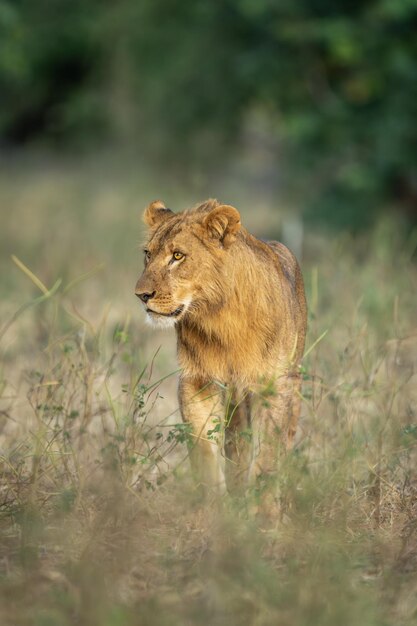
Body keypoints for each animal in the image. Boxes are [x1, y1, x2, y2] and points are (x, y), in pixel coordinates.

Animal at [135, 197, 308, 500]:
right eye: (148, 254)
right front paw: (214, 503)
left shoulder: (273, 386)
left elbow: (267, 457)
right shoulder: (198, 382)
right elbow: (205, 448)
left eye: (177, 256)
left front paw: (263, 509)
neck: (220, 318)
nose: (142, 295)